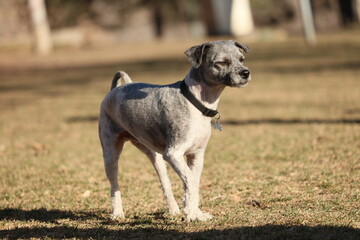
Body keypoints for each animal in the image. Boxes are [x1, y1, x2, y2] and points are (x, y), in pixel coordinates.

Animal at [97, 39, 250, 221]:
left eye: (241, 59)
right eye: (221, 62)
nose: (245, 73)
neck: (194, 102)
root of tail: (115, 89)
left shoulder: (196, 155)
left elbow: (192, 183)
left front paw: (194, 212)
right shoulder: (173, 153)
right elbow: (191, 182)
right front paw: (191, 214)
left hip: (156, 157)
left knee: (165, 184)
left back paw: (173, 210)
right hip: (110, 156)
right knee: (114, 186)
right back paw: (117, 213)